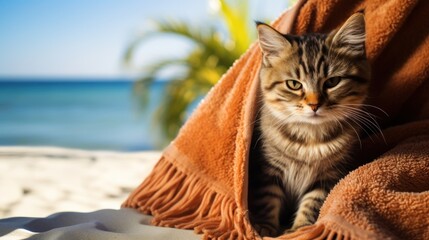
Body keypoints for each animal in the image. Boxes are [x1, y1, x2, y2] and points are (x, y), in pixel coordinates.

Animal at [249, 13, 370, 236]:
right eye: (294, 84)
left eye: (332, 82)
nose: (314, 105)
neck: (309, 138)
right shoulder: (267, 170)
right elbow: (267, 200)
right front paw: (265, 228)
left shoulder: (328, 176)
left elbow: (312, 202)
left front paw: (300, 228)